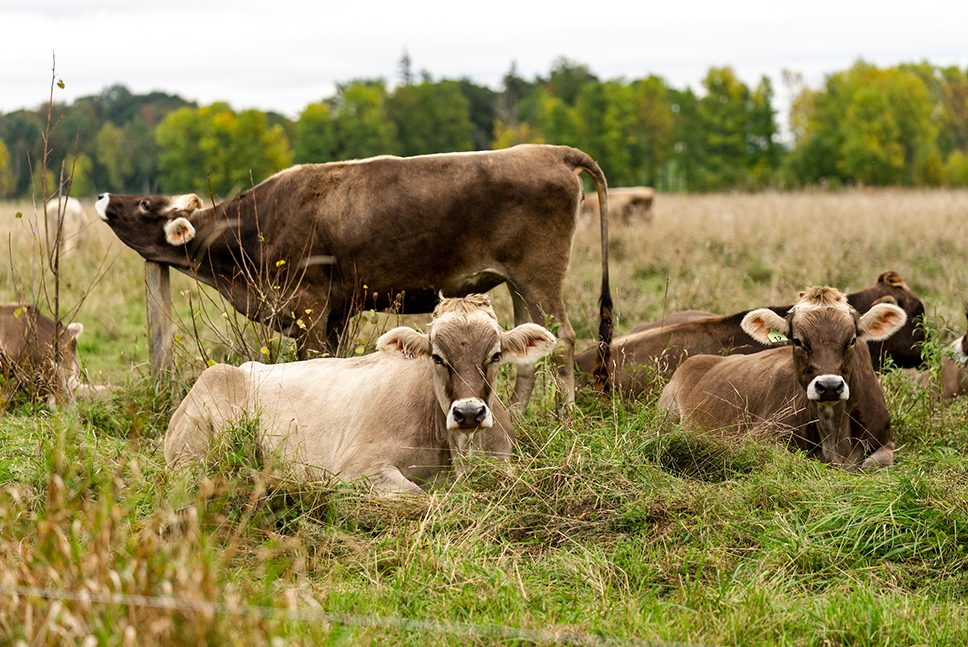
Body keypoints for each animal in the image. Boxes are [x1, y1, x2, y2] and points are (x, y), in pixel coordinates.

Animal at [98, 147, 612, 410]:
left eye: (144, 204)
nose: (103, 195)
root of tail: (549, 152)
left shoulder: (309, 306)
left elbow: (310, 364)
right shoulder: (336, 312)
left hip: (538, 275)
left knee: (563, 341)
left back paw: (563, 419)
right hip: (519, 282)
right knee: (530, 348)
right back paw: (520, 418)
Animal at [164, 294, 560, 496]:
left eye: (495, 355)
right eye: (437, 357)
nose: (468, 413)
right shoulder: (354, 468)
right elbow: (419, 495)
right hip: (193, 454)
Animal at [656, 288, 908, 470]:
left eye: (852, 339)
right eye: (797, 341)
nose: (829, 386)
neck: (836, 439)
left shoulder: (885, 440)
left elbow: (875, 463)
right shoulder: (758, 437)